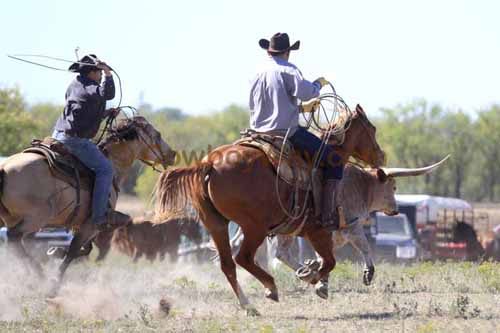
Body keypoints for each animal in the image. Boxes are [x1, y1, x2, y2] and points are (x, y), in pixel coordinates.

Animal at [0, 116, 176, 294]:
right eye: (158, 135)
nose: (172, 154)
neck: (113, 166)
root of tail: (4, 167)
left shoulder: (81, 224)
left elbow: (84, 248)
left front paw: (56, 251)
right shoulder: (92, 224)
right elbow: (73, 250)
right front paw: (55, 282)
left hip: (13, 218)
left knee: (16, 243)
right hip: (35, 219)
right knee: (14, 237)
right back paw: (40, 276)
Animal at [154, 104, 384, 314]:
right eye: (372, 129)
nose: (381, 156)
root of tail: (210, 163)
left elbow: (311, 258)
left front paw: (312, 274)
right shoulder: (318, 231)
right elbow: (329, 261)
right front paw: (313, 277)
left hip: (216, 224)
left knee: (228, 265)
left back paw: (249, 305)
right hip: (254, 228)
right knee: (243, 258)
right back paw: (271, 287)